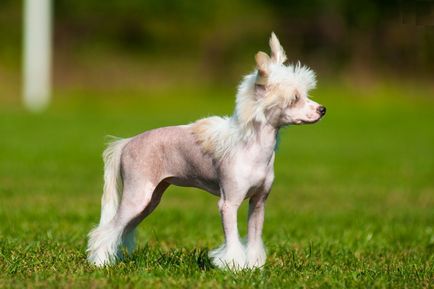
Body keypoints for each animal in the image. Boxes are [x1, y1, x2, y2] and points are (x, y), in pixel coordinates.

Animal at [87, 32, 326, 268]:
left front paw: (254, 266)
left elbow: (254, 238)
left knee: (120, 230)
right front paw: (235, 266)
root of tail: (126, 142)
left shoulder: (258, 203)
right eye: (294, 99)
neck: (254, 147)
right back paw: (100, 263)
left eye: (304, 95)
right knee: (106, 230)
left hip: (150, 200)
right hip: (137, 197)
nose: (322, 109)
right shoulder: (228, 204)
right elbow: (232, 239)